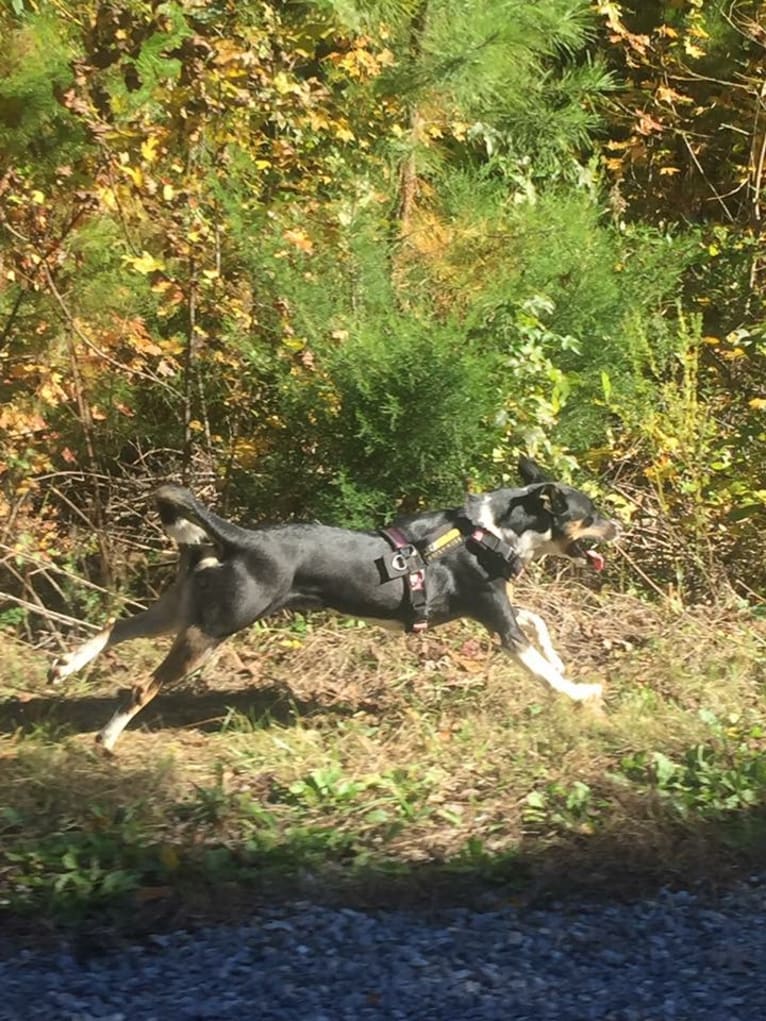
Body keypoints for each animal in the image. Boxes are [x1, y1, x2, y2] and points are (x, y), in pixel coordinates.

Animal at [51, 459, 620, 755]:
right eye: (591, 513)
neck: (490, 532)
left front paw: (561, 659)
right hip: (213, 629)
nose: (619, 527)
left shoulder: (494, 610)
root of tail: (240, 539)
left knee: (117, 625)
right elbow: (543, 670)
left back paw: (66, 665)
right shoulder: (495, 618)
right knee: (140, 685)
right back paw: (107, 738)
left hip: (185, 611)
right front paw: (580, 691)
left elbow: (538, 622)